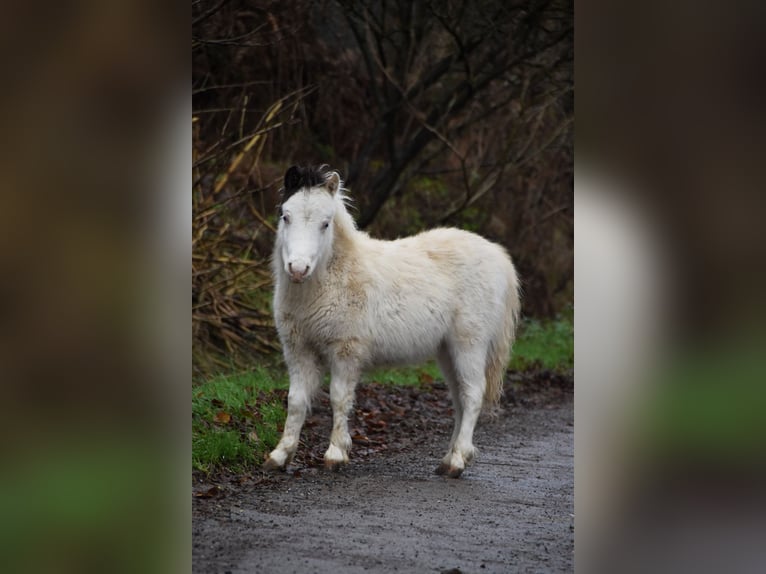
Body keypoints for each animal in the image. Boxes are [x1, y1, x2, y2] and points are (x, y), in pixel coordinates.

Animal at [264, 165, 520, 476]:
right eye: (285, 216)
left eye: (325, 223)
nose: (298, 269)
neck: (332, 279)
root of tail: (498, 256)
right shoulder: (298, 350)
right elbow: (296, 401)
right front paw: (280, 455)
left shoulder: (346, 350)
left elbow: (339, 397)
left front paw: (336, 453)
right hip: (447, 350)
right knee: (459, 397)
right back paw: (448, 458)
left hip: (470, 343)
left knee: (472, 395)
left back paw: (457, 460)